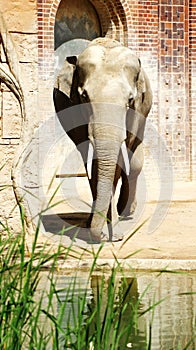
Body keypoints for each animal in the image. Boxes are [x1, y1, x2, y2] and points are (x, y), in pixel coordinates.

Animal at [53, 36, 152, 243]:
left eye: (130, 99)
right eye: (84, 96)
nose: (102, 236)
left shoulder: (136, 111)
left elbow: (118, 163)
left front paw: (114, 233)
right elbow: (92, 166)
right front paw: (105, 230)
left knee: (135, 162)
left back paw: (126, 212)